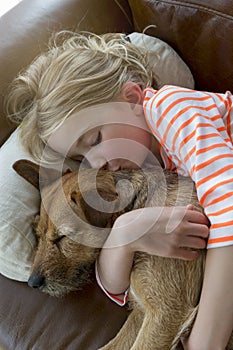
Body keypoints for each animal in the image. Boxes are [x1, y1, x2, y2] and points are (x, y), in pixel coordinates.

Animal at [13, 160, 233, 348]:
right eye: (36, 233)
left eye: (62, 237)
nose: (33, 283)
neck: (136, 208)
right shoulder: (142, 311)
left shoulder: (166, 314)